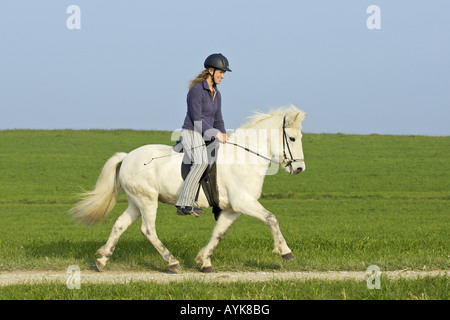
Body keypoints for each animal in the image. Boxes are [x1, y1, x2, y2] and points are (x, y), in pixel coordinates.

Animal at [69, 105, 306, 272]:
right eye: (292, 138)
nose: (300, 168)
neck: (245, 156)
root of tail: (127, 157)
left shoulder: (233, 209)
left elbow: (218, 233)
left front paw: (204, 261)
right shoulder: (244, 202)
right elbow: (271, 218)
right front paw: (286, 252)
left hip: (136, 202)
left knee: (119, 225)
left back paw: (102, 259)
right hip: (147, 200)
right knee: (148, 230)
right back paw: (172, 262)